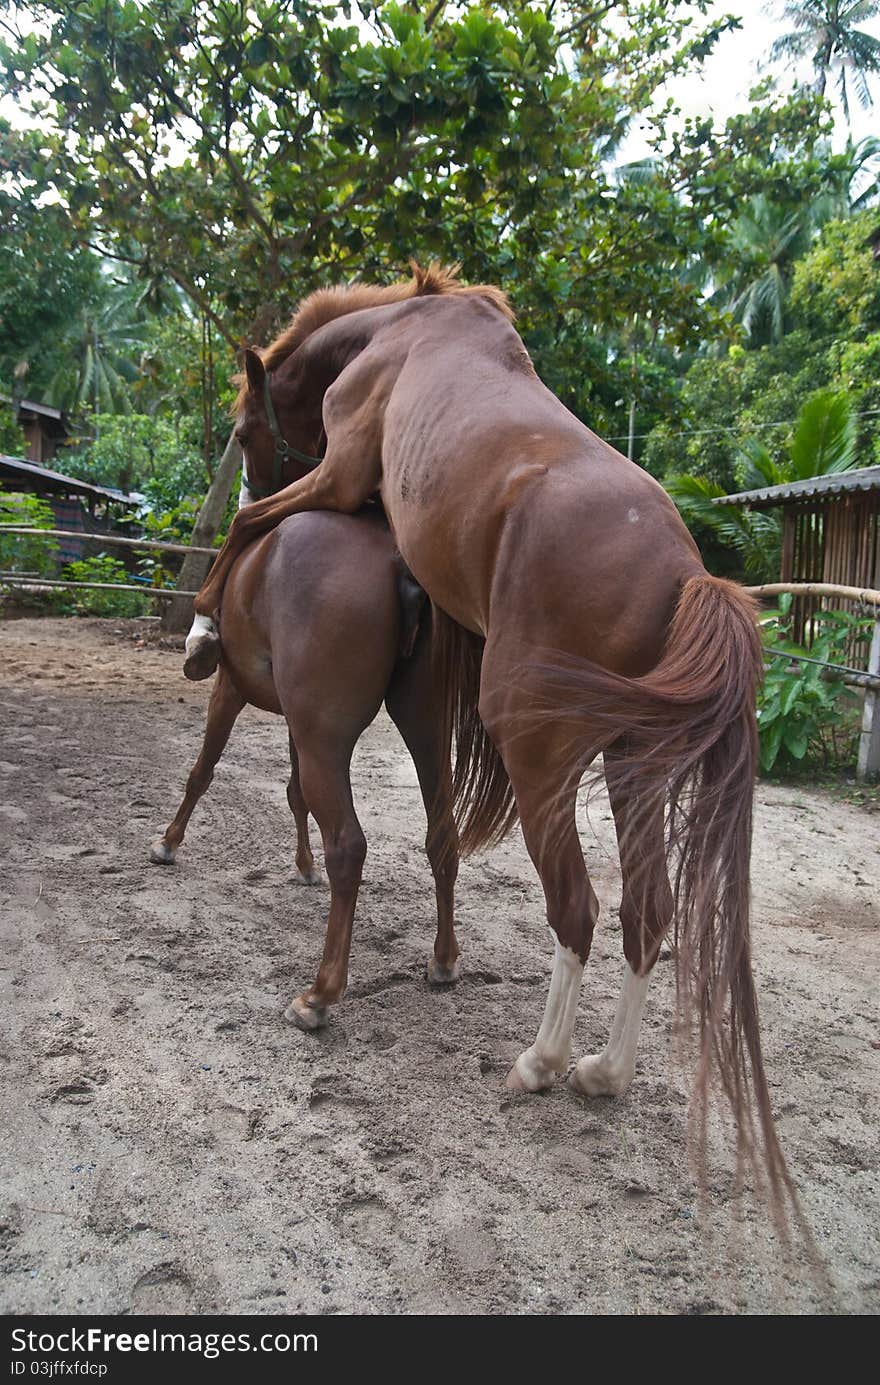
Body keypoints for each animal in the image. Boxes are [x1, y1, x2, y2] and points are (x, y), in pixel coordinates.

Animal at [160, 509, 460, 1030]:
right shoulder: (291, 720)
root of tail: (396, 563)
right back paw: (443, 960)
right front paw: (303, 865)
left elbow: (202, 771)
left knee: (348, 846)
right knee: (442, 836)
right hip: (423, 733)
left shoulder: (230, 688)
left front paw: (168, 842)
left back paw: (319, 994)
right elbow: (293, 793)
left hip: (325, 740)